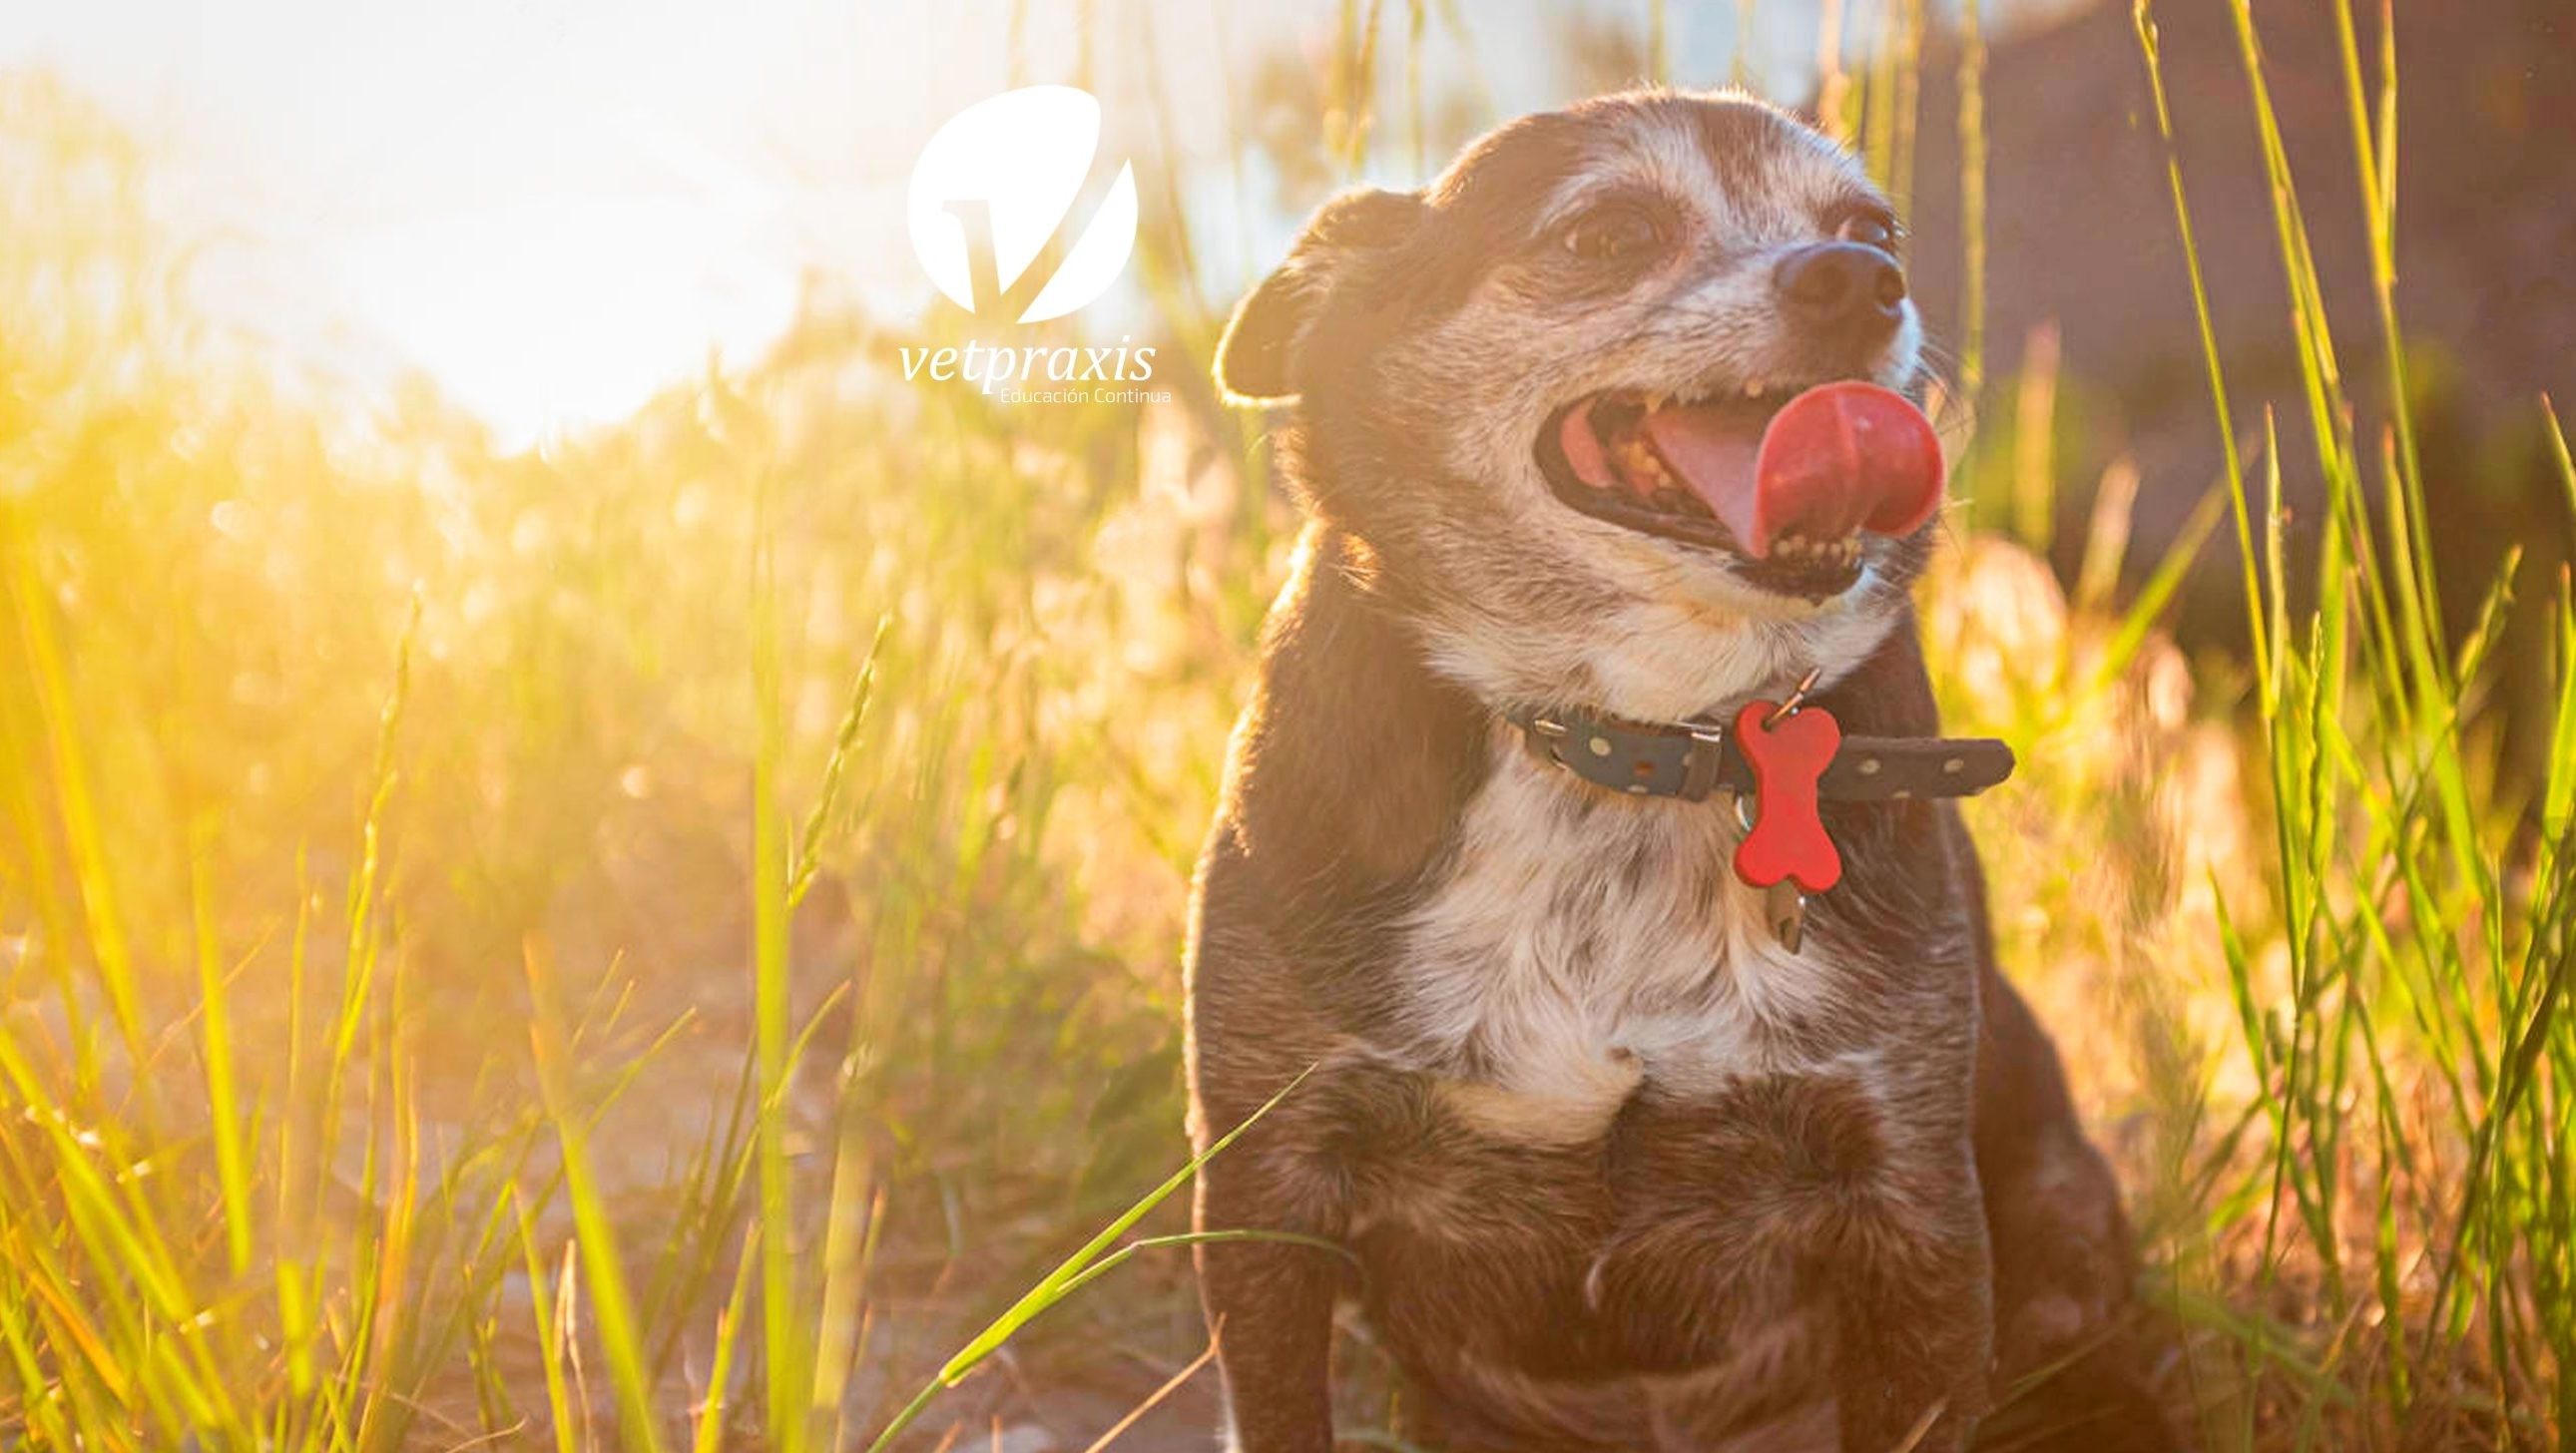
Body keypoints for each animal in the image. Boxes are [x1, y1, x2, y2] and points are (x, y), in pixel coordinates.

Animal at [1185, 91, 2174, 1453]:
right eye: (1604, 234)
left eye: (1875, 229)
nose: (1856, 280)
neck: (1637, 739)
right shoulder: (1269, 1185)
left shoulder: (1909, 1203)